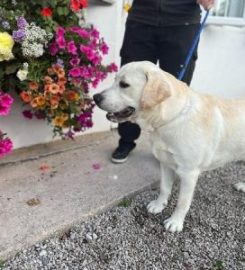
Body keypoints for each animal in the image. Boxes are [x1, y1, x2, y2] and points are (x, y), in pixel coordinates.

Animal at [93, 60, 245, 232]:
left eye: (124, 84)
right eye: (114, 80)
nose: (95, 97)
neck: (171, 118)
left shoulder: (189, 173)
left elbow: (182, 202)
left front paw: (176, 222)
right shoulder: (165, 163)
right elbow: (164, 188)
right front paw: (159, 205)